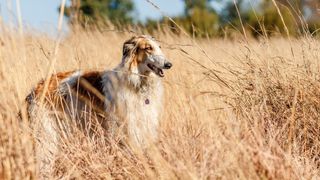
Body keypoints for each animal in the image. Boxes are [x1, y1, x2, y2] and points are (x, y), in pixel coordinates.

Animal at [25, 35, 172, 176]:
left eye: (159, 47)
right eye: (148, 48)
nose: (169, 64)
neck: (136, 83)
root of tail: (36, 88)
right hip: (46, 136)